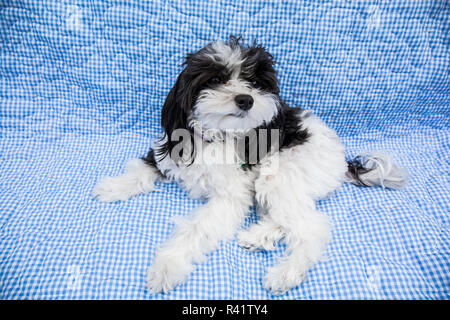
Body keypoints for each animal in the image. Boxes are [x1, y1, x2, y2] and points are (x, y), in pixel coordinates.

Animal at [93, 35, 406, 296]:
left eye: (254, 83)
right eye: (216, 79)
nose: (246, 99)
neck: (218, 135)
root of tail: (342, 158)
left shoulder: (229, 197)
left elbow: (195, 229)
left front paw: (166, 267)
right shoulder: (169, 152)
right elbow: (143, 169)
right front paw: (113, 187)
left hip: (277, 176)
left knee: (311, 227)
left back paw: (286, 272)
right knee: (290, 216)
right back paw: (258, 235)